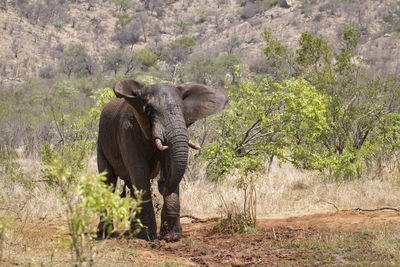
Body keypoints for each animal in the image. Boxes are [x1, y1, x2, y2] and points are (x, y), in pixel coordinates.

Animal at [97, 79, 227, 241]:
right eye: (149, 110)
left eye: (183, 110)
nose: (161, 182)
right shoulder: (127, 132)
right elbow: (140, 174)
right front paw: (148, 237)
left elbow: (168, 165)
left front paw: (171, 237)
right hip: (101, 141)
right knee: (108, 180)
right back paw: (104, 233)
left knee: (130, 186)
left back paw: (132, 231)